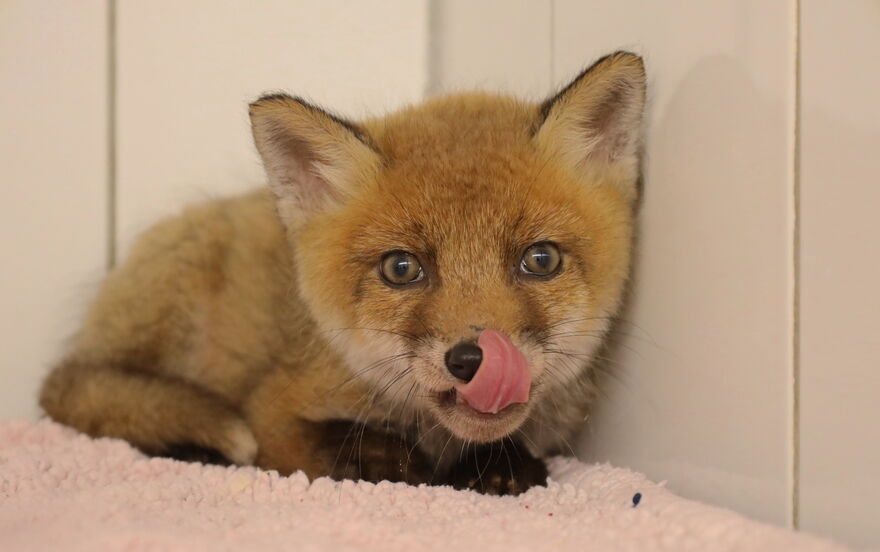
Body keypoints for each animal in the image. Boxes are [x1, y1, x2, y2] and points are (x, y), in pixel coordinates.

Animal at [41, 50, 648, 492]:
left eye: (540, 260)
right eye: (401, 268)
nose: (473, 360)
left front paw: (499, 466)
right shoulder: (272, 412)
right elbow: (330, 447)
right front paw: (392, 461)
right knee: (78, 397)